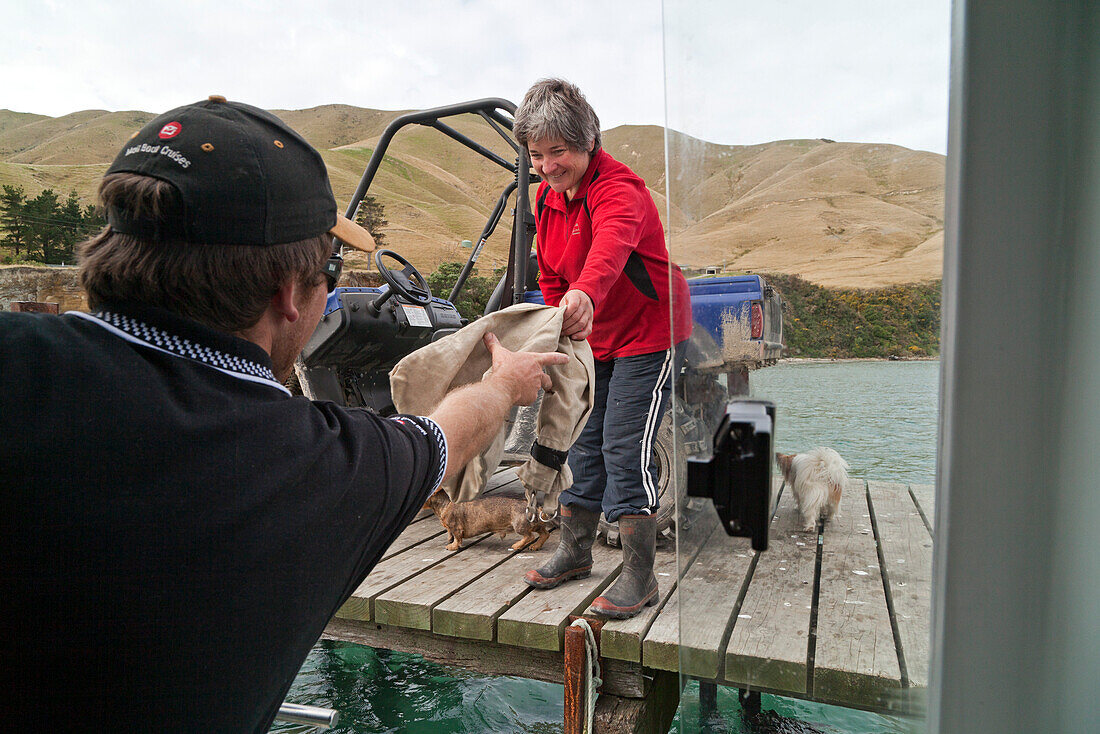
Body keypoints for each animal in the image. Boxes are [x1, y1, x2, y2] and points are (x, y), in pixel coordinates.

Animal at [422, 488, 558, 550]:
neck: (445, 503)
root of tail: (536, 509)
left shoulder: (456, 528)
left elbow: (457, 538)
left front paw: (452, 546)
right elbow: (450, 534)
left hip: (520, 526)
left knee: (529, 536)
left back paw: (517, 545)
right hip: (537, 525)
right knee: (545, 534)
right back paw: (536, 546)